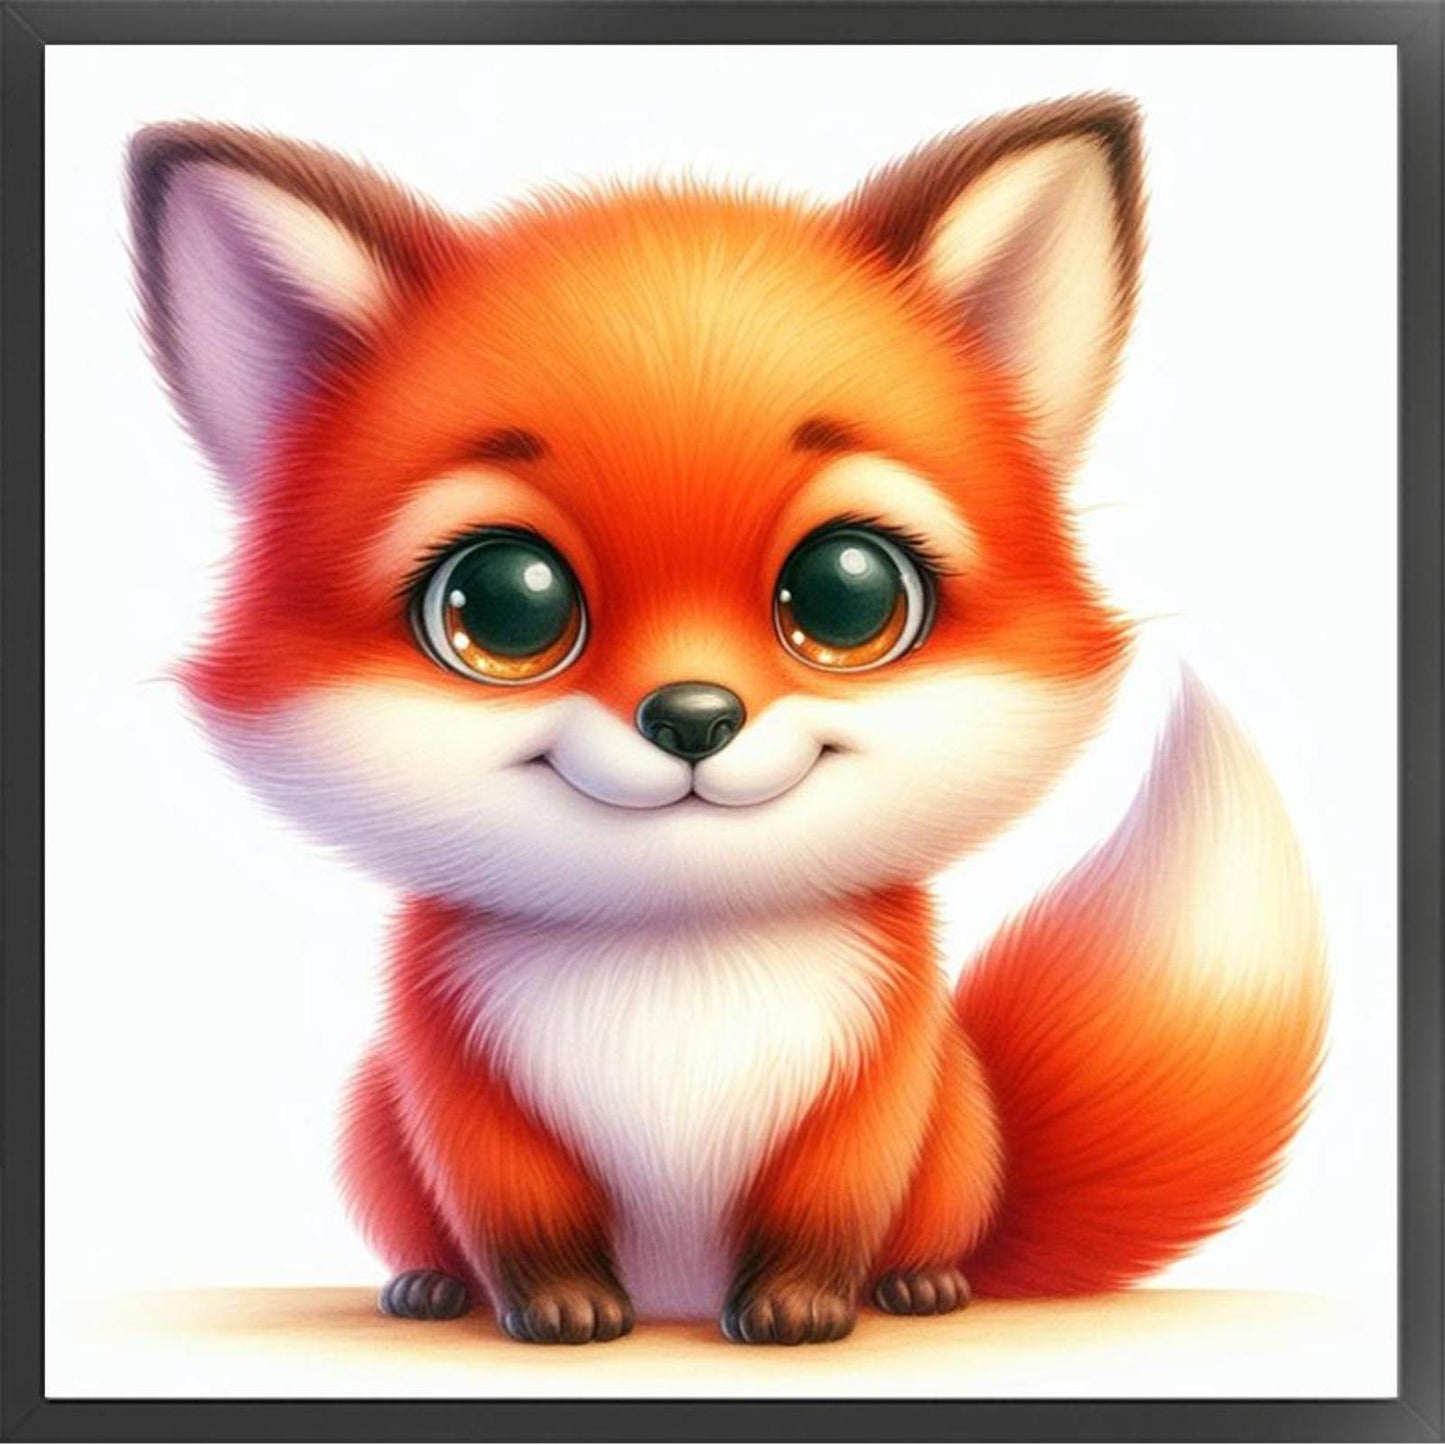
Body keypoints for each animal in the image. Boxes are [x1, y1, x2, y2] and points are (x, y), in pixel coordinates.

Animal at [127, 94, 1327, 1346]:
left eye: (849, 592)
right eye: (505, 603)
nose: (695, 715)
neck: (679, 954)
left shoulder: (875, 1076)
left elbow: (824, 1204)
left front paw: (800, 1304)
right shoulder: (459, 1084)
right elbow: (519, 1211)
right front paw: (554, 1304)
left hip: (953, 1119)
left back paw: (922, 1282)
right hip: (372, 1115)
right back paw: (428, 1285)